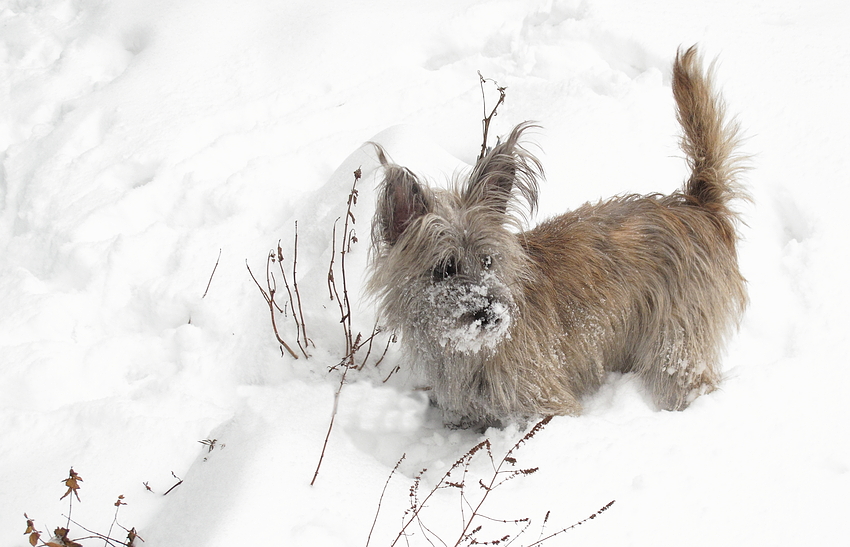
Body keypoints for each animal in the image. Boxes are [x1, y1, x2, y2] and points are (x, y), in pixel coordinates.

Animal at [364, 45, 744, 426]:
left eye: (487, 260)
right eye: (445, 268)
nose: (490, 313)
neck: (473, 351)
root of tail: (695, 204)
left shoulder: (546, 403)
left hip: (676, 341)